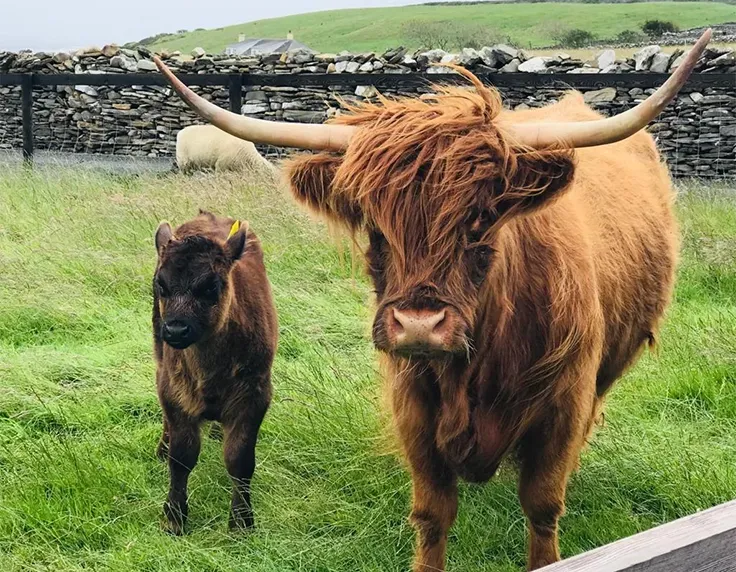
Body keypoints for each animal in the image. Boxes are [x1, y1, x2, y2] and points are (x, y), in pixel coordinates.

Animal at [153, 210, 277, 534]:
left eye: (211, 285)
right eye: (161, 285)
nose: (175, 330)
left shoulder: (255, 396)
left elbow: (239, 460)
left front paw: (241, 523)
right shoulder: (173, 393)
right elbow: (181, 458)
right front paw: (174, 519)